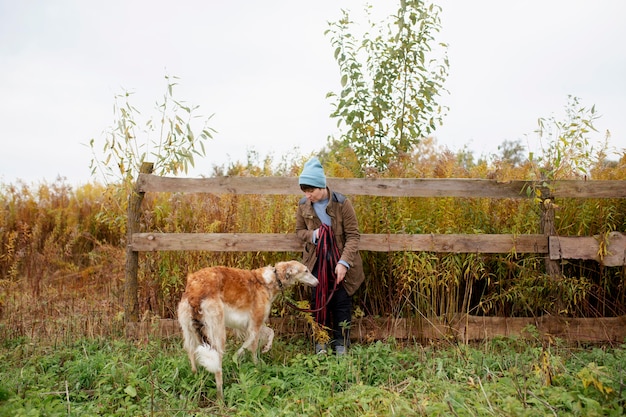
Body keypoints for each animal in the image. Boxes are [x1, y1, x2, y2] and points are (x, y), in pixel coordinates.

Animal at [177, 260, 316, 400]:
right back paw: (221, 397)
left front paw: (266, 348)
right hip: (218, 333)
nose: (318, 282)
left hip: (189, 333)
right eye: (306, 271)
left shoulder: (251, 325)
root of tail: (195, 291)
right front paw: (255, 364)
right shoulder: (255, 324)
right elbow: (252, 347)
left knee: (192, 358)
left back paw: (195, 380)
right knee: (217, 369)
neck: (271, 279)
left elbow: (270, 332)